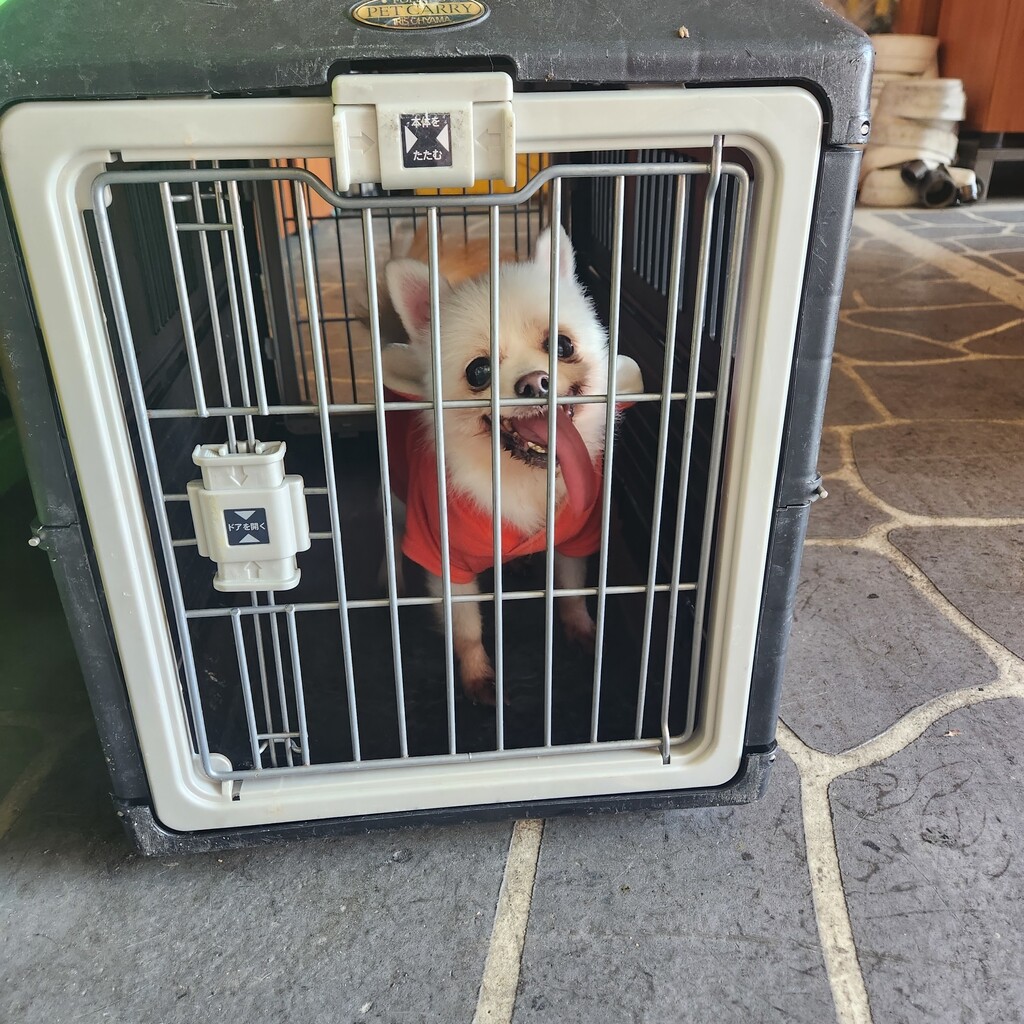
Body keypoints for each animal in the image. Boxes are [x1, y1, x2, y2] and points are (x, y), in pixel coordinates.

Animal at [381, 225, 642, 705]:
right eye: (478, 371)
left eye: (562, 345)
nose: (534, 382)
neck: (520, 476)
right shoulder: (445, 556)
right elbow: (466, 626)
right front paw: (477, 676)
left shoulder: (575, 536)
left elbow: (571, 587)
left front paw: (582, 629)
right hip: (397, 496)